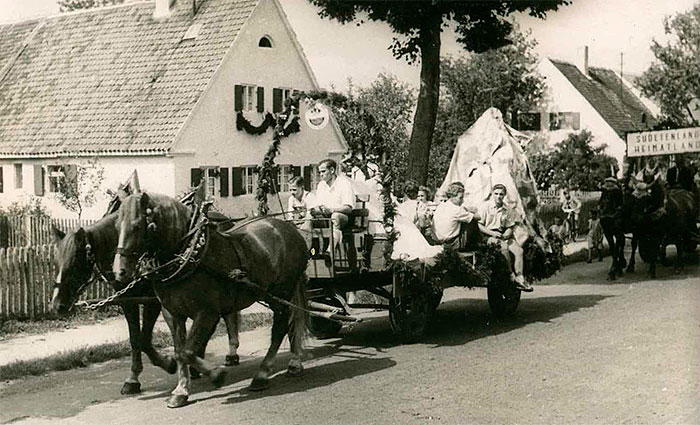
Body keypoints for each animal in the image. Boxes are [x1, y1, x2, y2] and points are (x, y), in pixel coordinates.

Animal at [52, 212, 243, 394]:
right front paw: (133, 379)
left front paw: (168, 363)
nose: (57, 305)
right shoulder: (128, 300)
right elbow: (135, 339)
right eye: (56, 262)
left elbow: (144, 340)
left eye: (75, 263)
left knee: (227, 317)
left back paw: (229, 355)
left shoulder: (154, 302)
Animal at [113, 190, 308, 406]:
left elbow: (187, 351)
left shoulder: (207, 312)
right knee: (292, 321)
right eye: (116, 226)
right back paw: (292, 362)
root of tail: (288, 228)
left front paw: (216, 375)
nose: (120, 272)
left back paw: (263, 374)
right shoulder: (172, 313)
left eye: (137, 226)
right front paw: (181, 389)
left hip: (281, 293)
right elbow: (179, 351)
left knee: (280, 328)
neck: (189, 254)